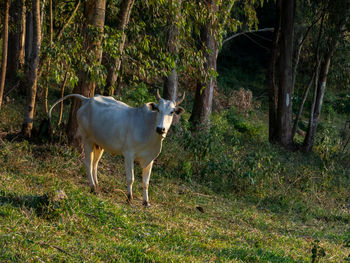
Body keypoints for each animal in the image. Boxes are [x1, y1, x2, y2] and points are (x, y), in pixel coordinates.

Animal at [50, 91, 186, 206]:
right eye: (157, 109)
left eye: (172, 111)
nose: (160, 129)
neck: (149, 129)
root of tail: (87, 100)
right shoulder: (129, 154)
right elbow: (131, 178)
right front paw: (129, 198)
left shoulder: (150, 159)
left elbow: (146, 182)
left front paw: (146, 202)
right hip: (87, 138)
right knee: (88, 162)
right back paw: (93, 188)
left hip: (98, 144)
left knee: (95, 164)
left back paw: (97, 186)